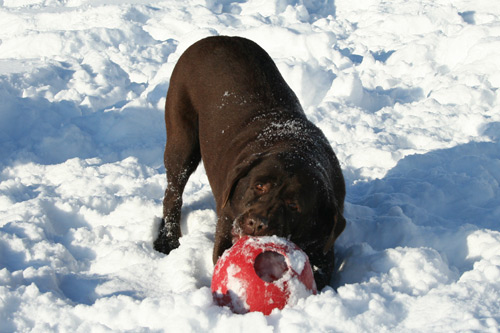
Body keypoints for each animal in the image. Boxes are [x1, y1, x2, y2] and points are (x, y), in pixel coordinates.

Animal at [154, 34, 346, 288]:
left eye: (294, 206)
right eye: (259, 186)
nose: (256, 223)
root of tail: (216, 37)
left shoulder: (325, 248)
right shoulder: (227, 223)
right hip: (182, 139)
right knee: (173, 192)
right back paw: (168, 240)